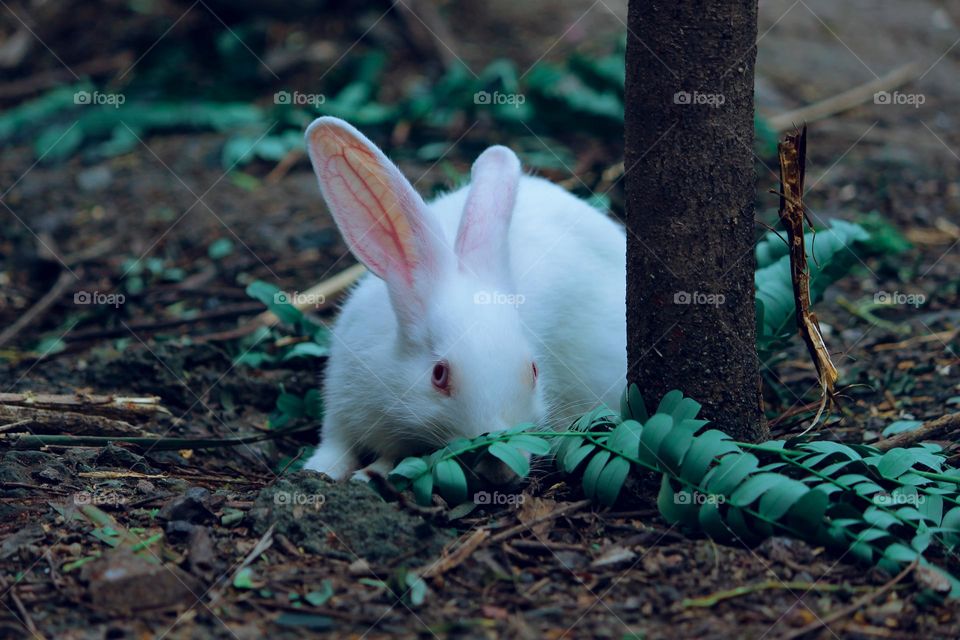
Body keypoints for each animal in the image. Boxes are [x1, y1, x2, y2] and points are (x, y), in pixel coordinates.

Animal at [301, 116, 627, 481]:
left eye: (534, 370)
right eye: (439, 375)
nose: (505, 469)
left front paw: (371, 472)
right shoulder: (341, 397)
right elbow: (336, 442)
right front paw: (325, 469)